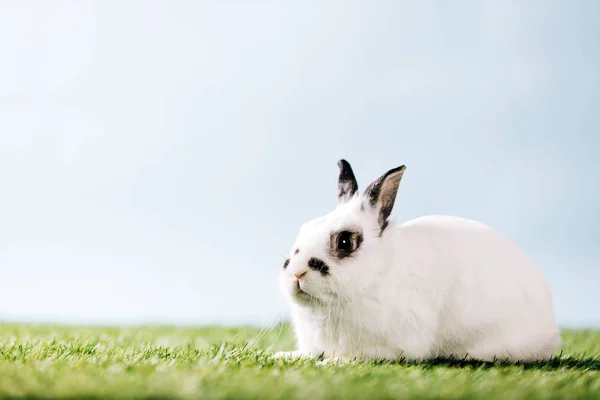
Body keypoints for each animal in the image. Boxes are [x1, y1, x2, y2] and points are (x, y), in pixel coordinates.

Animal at [276, 159, 564, 362]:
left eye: (345, 242)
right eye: (305, 228)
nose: (297, 273)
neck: (376, 275)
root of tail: (551, 328)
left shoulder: (386, 346)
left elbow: (354, 357)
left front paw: (331, 363)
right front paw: (283, 355)